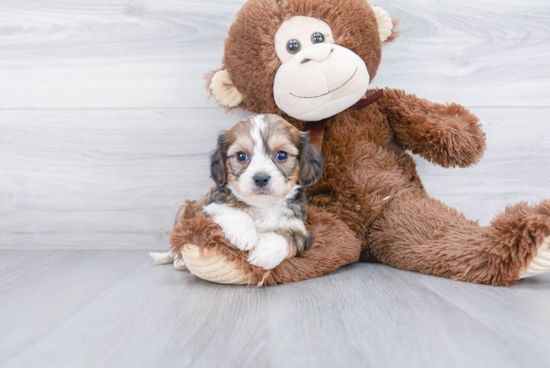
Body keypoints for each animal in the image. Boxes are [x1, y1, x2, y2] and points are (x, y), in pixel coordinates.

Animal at [151, 114, 324, 270]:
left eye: (281, 155)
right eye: (241, 156)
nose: (261, 178)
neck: (262, 206)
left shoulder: (298, 226)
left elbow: (289, 235)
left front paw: (265, 251)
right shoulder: (208, 210)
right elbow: (230, 211)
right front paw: (244, 234)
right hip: (183, 212)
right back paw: (180, 261)